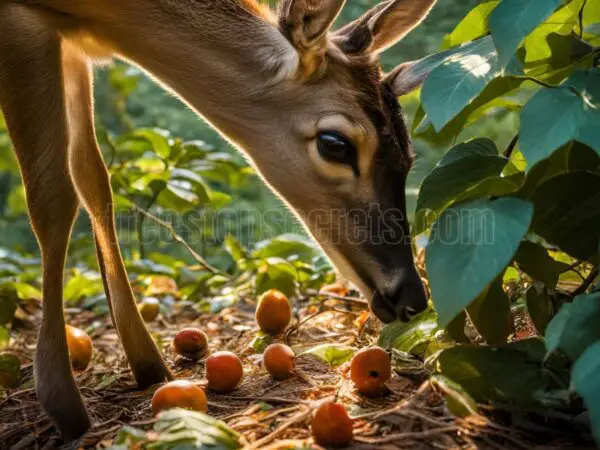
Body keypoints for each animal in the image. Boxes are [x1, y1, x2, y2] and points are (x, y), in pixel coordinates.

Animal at [0, 0, 438, 440]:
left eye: (409, 151)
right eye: (335, 144)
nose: (412, 296)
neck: (99, 17)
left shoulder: (74, 44)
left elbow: (94, 183)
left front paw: (147, 363)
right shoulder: (24, 23)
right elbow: (53, 199)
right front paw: (62, 401)